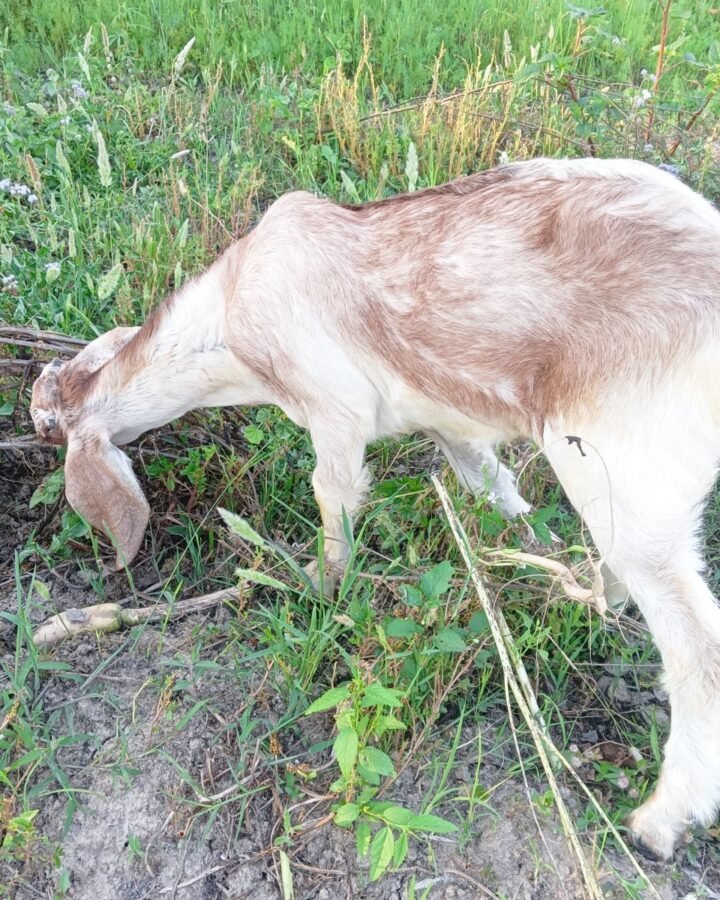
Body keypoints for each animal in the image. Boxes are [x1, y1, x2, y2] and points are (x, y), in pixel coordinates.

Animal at [30, 157, 720, 860]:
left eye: (48, 425)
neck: (224, 324)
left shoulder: (335, 407)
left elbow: (331, 495)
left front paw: (320, 585)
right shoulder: (446, 420)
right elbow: (492, 485)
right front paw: (534, 558)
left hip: (626, 469)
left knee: (699, 647)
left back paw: (660, 820)